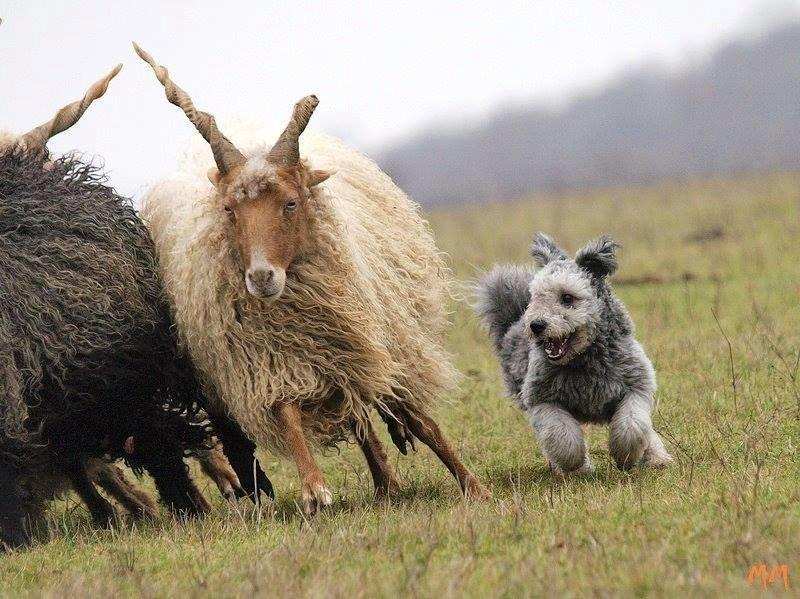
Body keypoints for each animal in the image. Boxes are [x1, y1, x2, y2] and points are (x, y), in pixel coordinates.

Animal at [135, 44, 490, 516]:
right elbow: (288, 413)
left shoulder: (382, 342)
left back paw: (389, 480)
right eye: (229, 209)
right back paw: (384, 484)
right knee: (356, 416)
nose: (260, 276)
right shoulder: (272, 360)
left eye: (290, 202)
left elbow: (422, 421)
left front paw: (473, 486)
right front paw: (314, 489)